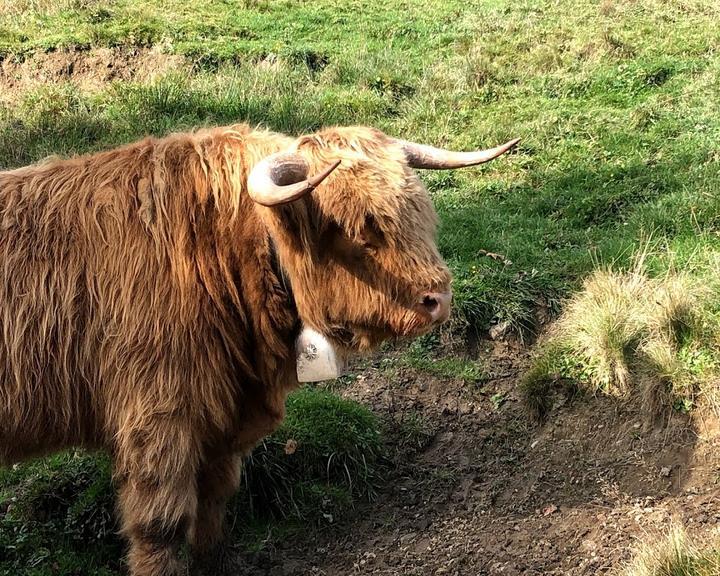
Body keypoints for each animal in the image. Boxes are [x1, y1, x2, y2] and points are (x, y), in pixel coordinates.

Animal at [0, 124, 516, 572]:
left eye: (419, 215)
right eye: (359, 229)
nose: (439, 298)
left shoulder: (221, 420)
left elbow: (214, 501)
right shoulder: (157, 414)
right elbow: (161, 527)